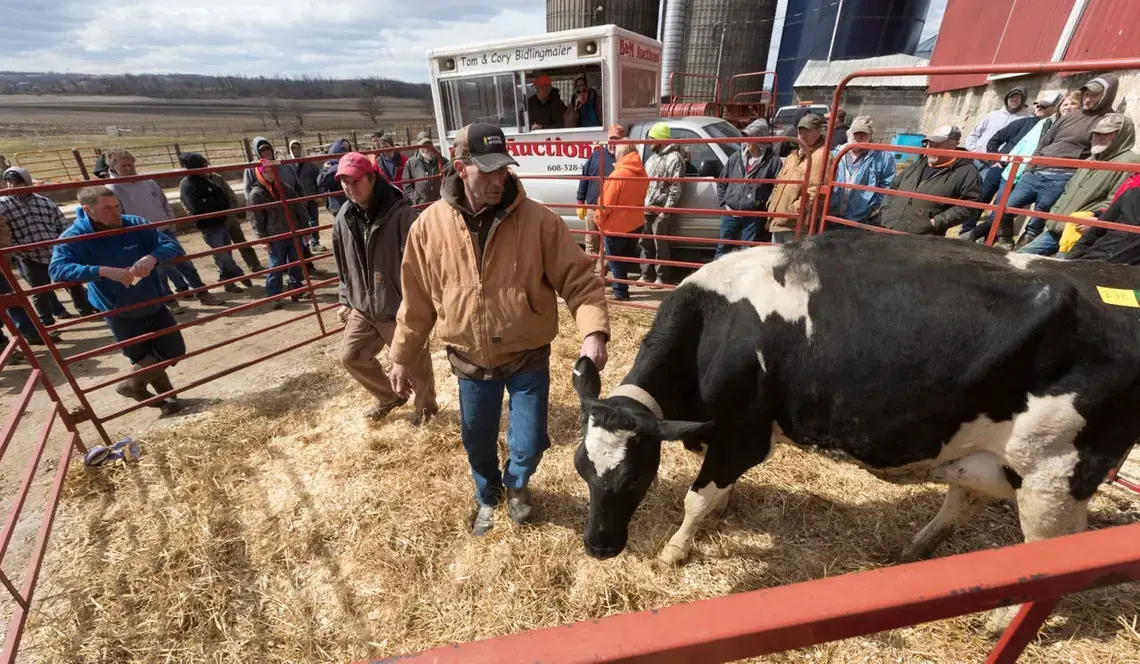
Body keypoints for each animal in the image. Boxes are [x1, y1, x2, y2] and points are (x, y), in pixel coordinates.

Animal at [574, 230, 1135, 572]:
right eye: (583, 471)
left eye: (637, 477)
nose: (598, 547)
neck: (717, 324)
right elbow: (715, 491)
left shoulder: (743, 434)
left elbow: (697, 497)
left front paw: (674, 551)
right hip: (989, 453)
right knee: (963, 500)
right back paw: (914, 549)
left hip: (1055, 474)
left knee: (1048, 554)